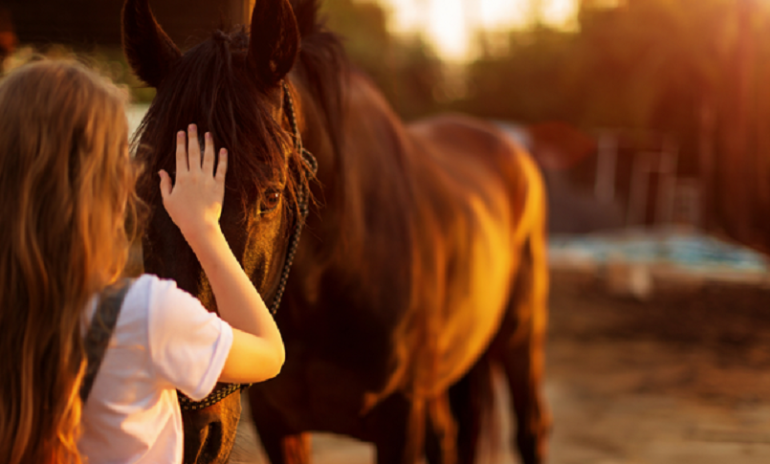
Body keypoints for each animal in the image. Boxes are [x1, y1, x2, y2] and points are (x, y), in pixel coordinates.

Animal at [123, 0, 548, 464]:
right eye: (142, 192)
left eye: (271, 195)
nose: (185, 433)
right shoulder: (278, 423)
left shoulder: (400, 419)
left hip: (521, 337)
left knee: (530, 428)